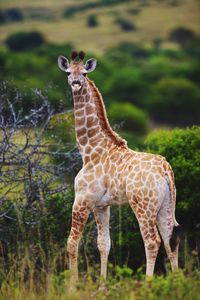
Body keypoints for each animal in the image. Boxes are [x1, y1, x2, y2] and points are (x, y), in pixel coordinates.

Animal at [57, 51, 182, 282]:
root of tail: (166, 170)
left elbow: (71, 243)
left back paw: (149, 284)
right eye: (68, 72)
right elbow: (104, 244)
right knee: (171, 240)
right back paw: (177, 283)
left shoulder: (82, 200)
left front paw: (72, 285)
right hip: (166, 205)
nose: (76, 84)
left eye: (84, 73)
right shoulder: (101, 205)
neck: (90, 150)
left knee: (152, 241)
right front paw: (102, 285)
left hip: (143, 205)